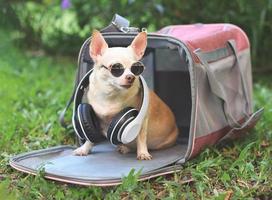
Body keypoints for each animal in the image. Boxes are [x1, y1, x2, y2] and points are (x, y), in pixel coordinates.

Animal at [73, 30, 178, 160]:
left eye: (136, 68)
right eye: (116, 68)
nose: (131, 77)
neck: (111, 94)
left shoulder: (142, 119)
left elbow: (141, 137)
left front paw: (143, 153)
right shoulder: (94, 118)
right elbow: (90, 136)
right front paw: (84, 149)